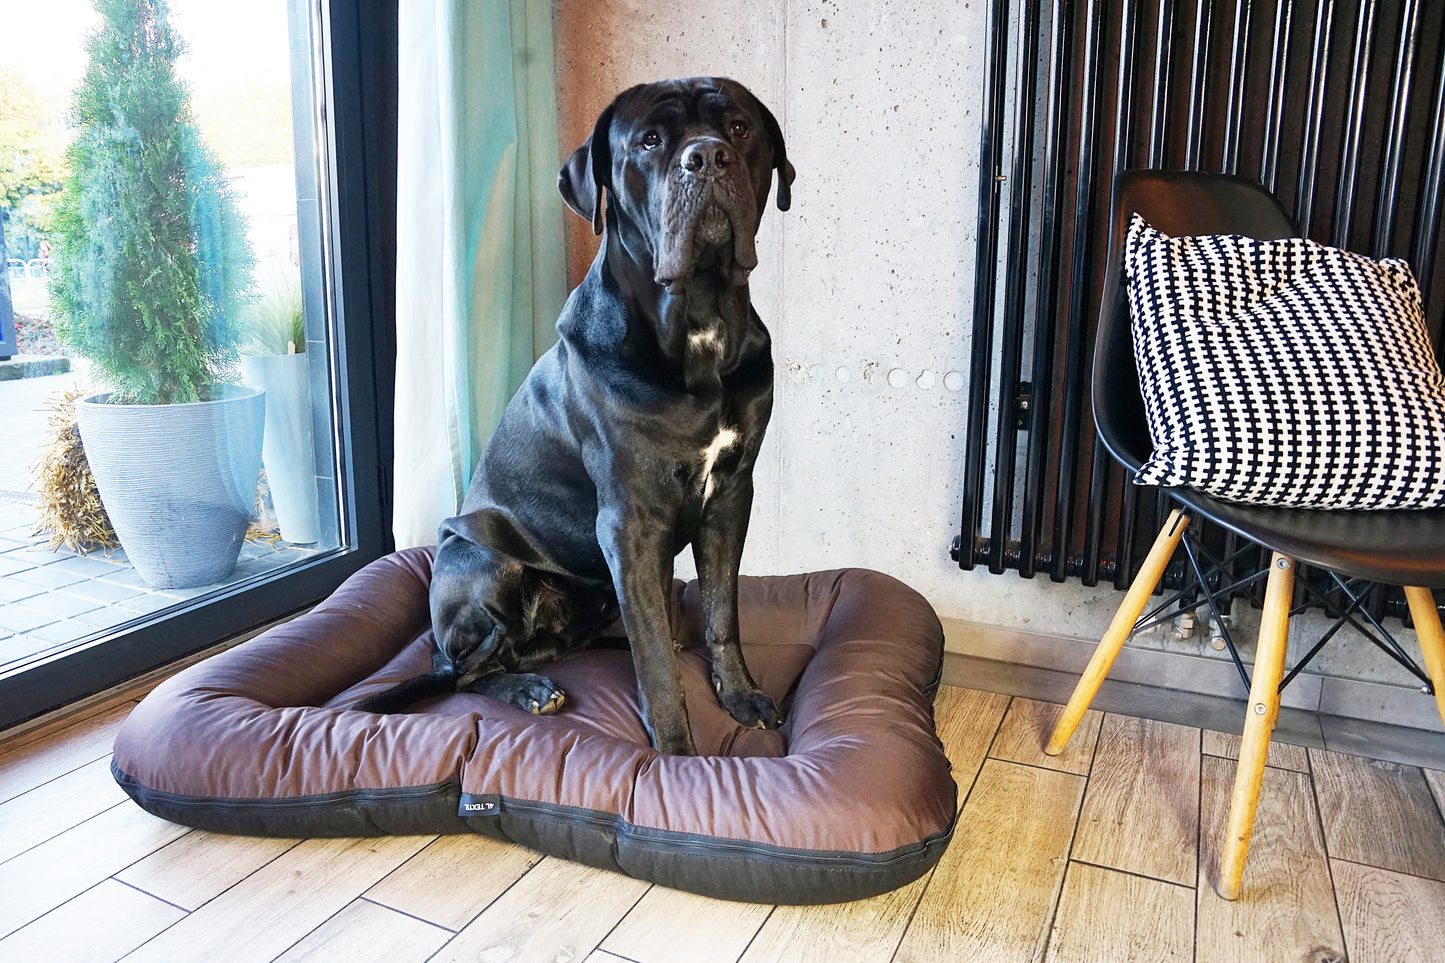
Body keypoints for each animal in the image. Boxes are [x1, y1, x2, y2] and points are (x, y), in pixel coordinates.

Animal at [356, 75, 797, 751]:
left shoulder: (730, 495)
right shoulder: (628, 524)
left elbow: (722, 610)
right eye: (649, 141)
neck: (698, 322)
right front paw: (675, 750)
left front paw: (739, 692)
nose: (706, 157)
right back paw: (530, 691)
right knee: (464, 672)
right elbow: (655, 664)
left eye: (740, 130)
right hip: (483, 562)